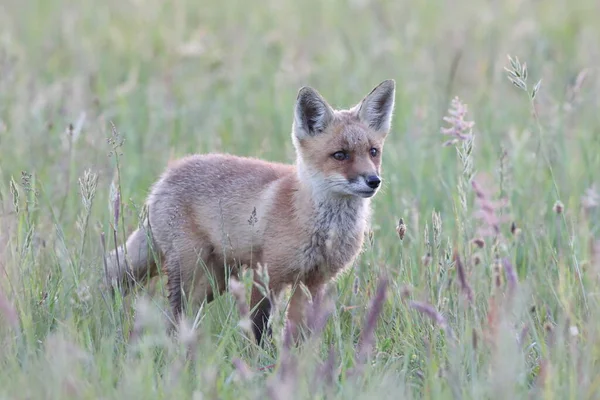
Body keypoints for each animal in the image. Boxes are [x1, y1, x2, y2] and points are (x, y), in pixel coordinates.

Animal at [105, 79, 396, 344]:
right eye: (340, 155)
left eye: (373, 152)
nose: (373, 180)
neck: (324, 231)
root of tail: (167, 175)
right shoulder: (268, 273)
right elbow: (259, 325)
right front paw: (261, 361)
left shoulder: (314, 281)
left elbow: (300, 332)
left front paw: (299, 361)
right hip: (190, 269)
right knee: (171, 311)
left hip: (214, 281)